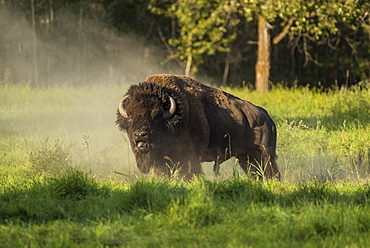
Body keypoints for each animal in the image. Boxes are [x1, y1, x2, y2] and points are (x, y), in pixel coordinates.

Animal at [117, 74, 278, 180]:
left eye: (156, 117)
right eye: (130, 117)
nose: (139, 135)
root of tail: (267, 117)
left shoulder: (189, 158)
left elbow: (190, 174)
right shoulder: (161, 161)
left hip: (265, 154)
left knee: (272, 173)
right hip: (245, 157)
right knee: (255, 173)